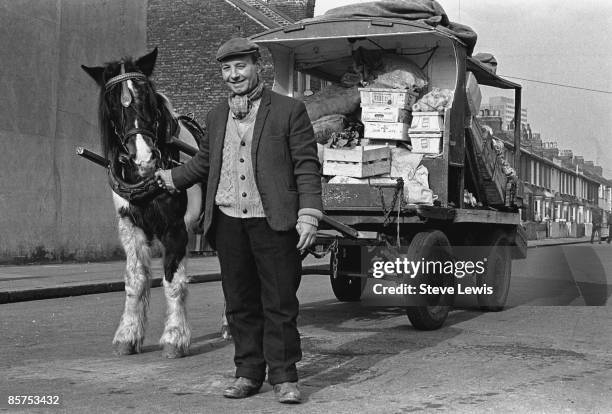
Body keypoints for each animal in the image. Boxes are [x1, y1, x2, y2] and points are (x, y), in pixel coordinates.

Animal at [81, 49, 230, 360]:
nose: (144, 159)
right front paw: (127, 336)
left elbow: (173, 280)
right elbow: (135, 280)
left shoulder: (176, 228)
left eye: (148, 96)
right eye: (112, 104)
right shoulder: (130, 227)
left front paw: (175, 338)